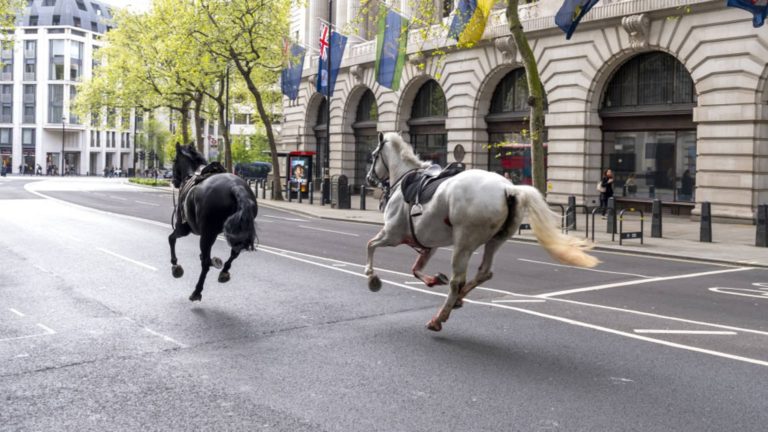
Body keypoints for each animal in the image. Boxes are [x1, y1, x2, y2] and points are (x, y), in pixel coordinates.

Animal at [169, 143, 258, 302]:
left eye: (174, 161)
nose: (174, 181)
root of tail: (235, 187)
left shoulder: (183, 228)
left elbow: (171, 239)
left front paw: (175, 265)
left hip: (206, 234)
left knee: (205, 263)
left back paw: (197, 291)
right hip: (235, 231)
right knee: (234, 252)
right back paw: (224, 272)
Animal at [366, 132, 600, 330]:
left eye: (373, 156)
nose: (369, 179)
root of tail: (509, 188)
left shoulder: (392, 234)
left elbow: (371, 245)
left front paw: (372, 277)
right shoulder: (428, 243)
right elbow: (415, 268)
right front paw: (433, 279)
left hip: (463, 243)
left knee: (457, 280)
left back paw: (439, 317)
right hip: (495, 240)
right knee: (484, 272)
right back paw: (458, 300)